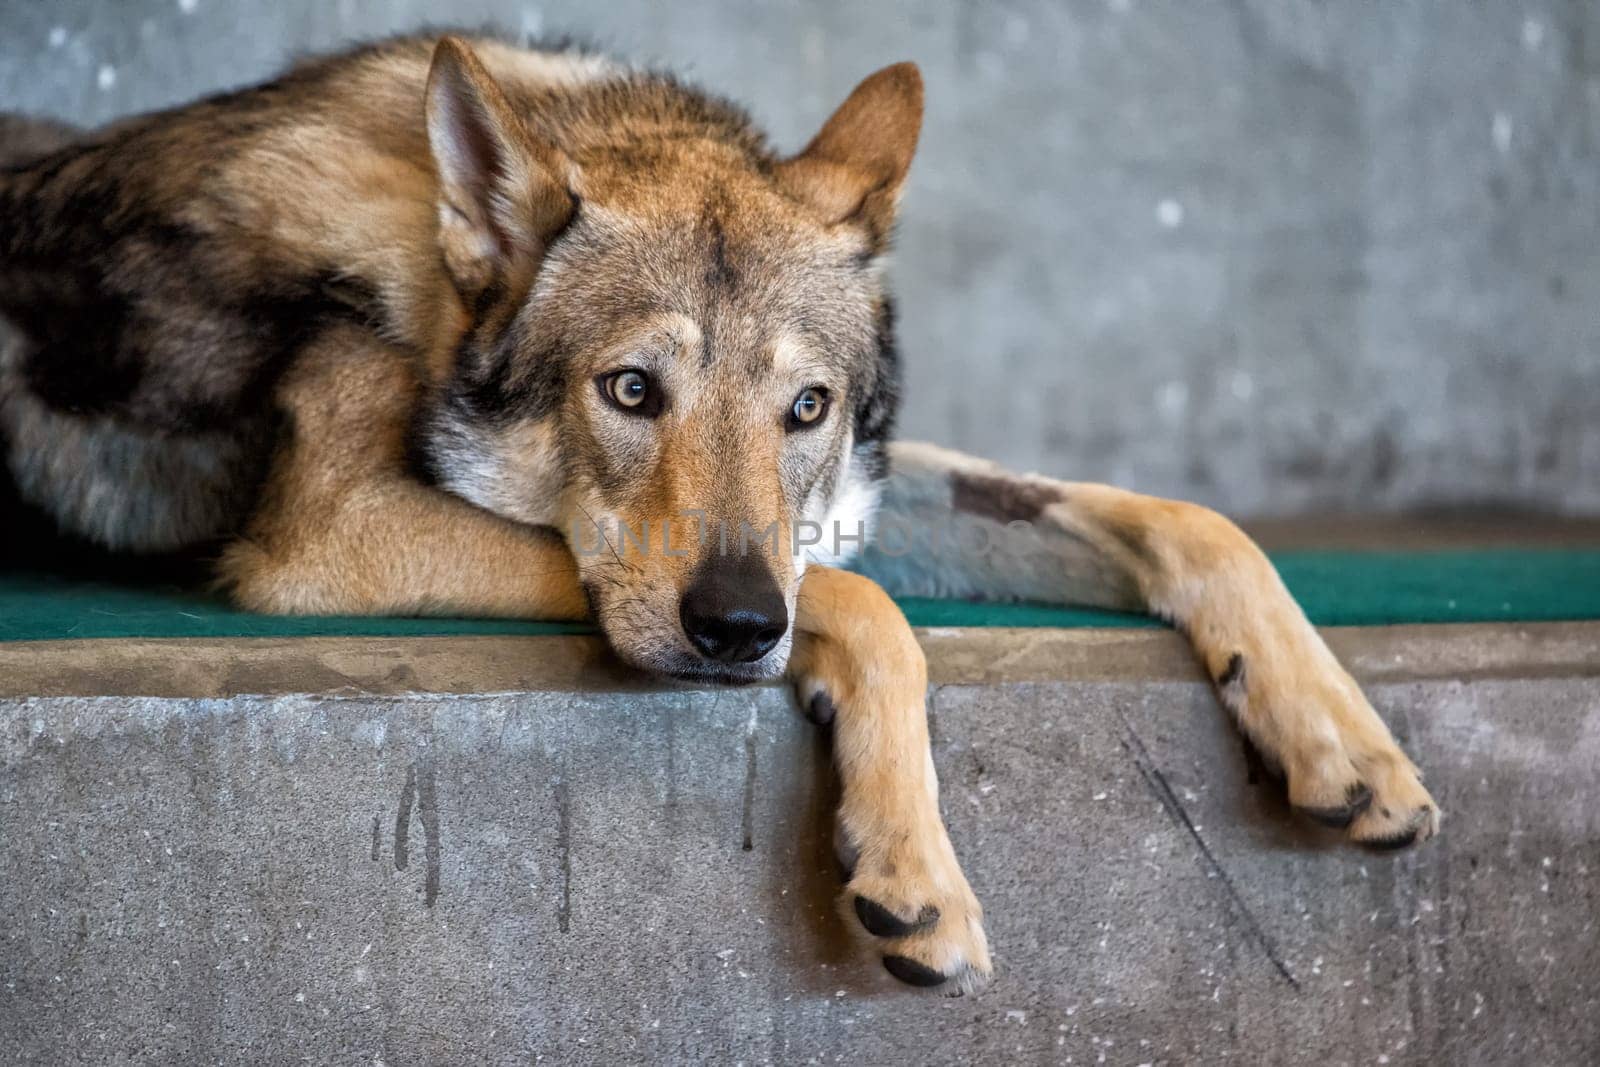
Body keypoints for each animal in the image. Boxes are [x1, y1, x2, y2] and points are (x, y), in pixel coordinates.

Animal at [0, 33, 1446, 998]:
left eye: (805, 407)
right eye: (632, 389)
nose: (742, 626)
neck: (427, 266)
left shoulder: (850, 498)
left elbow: (1188, 520)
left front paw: (1344, 740)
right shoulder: (332, 533)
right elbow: (865, 605)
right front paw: (917, 869)